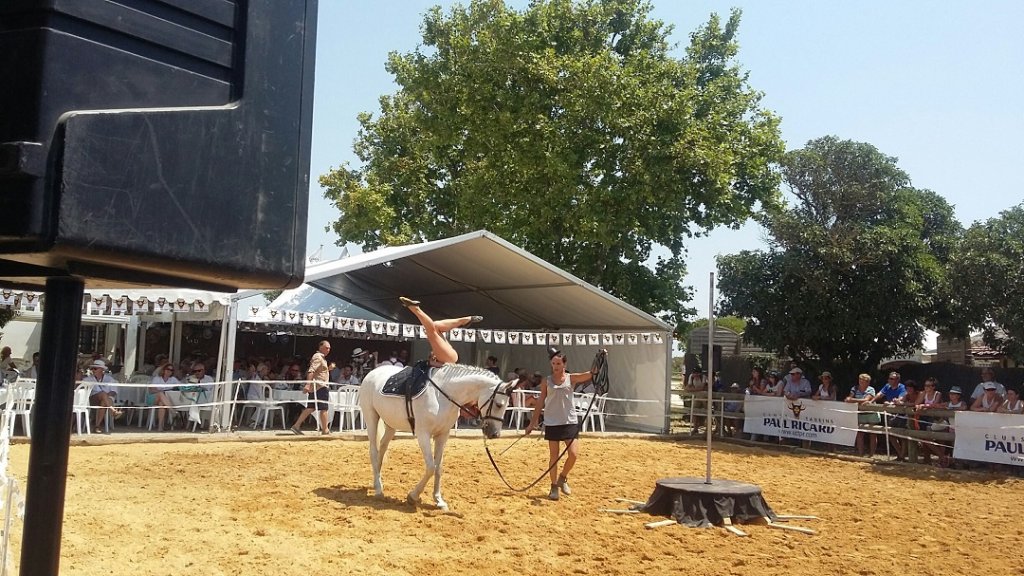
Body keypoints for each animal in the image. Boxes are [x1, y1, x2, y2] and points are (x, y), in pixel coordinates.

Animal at [362, 360, 516, 508]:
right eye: (499, 404)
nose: (495, 433)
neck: (442, 395)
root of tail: (373, 373)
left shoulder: (442, 435)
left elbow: (438, 467)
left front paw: (438, 500)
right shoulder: (423, 434)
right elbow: (431, 467)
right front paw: (413, 496)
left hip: (391, 424)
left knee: (382, 447)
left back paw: (377, 481)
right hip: (371, 417)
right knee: (373, 451)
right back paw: (378, 489)